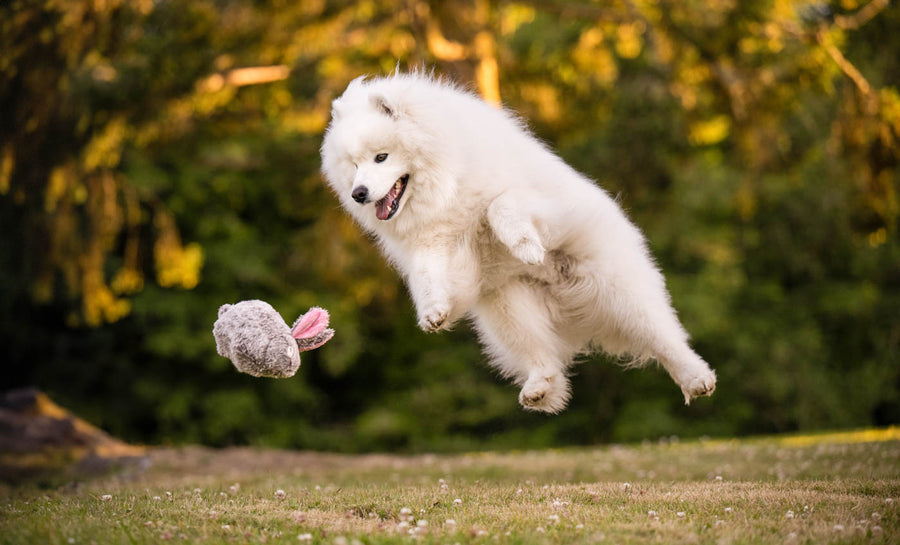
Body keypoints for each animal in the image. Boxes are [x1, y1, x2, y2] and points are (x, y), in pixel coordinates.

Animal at [320, 72, 712, 412]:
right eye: (353, 165)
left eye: (381, 157)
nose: (358, 193)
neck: (447, 182)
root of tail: (576, 317)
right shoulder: (435, 245)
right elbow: (427, 275)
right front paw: (432, 312)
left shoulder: (534, 199)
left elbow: (501, 206)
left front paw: (525, 246)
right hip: (507, 306)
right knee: (540, 354)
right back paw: (539, 388)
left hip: (620, 292)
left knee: (664, 338)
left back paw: (696, 379)